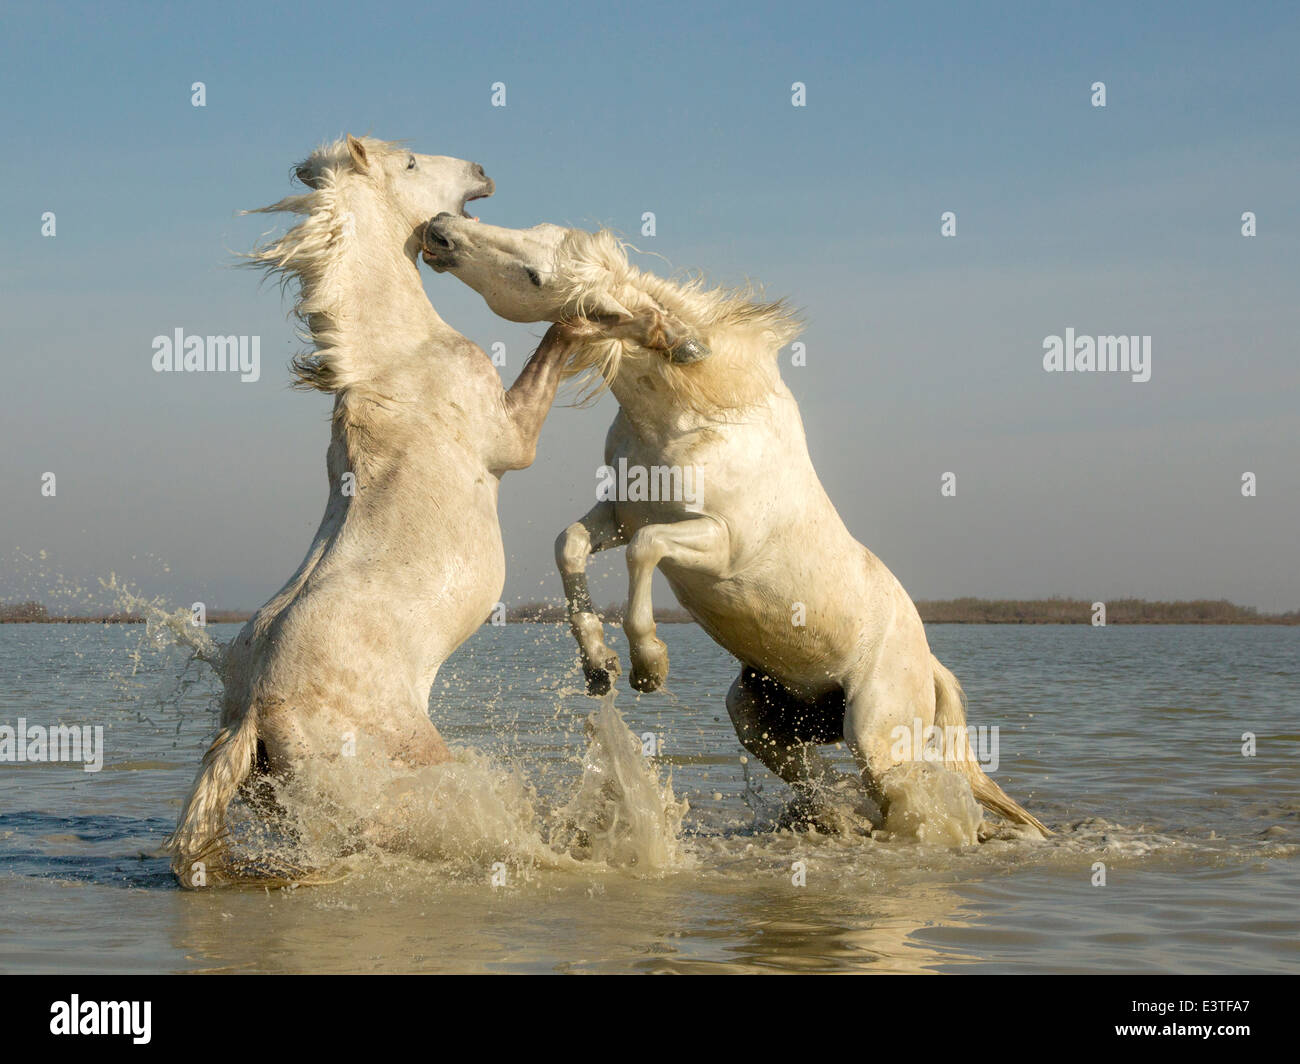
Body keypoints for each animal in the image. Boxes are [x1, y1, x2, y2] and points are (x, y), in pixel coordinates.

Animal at [165, 136, 587, 884]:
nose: (482, 170)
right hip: (428, 779)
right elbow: (554, 347)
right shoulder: (512, 440)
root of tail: (254, 717)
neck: (401, 357)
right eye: (413, 163)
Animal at [421, 212, 1050, 832]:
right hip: (761, 718)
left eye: (534, 274)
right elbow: (570, 543)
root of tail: (927, 660)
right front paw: (598, 666)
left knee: (912, 798)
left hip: (875, 735)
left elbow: (645, 550)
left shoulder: (718, 543)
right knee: (822, 784)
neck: (696, 414)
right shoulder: (617, 514)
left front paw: (648, 666)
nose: (440, 228)